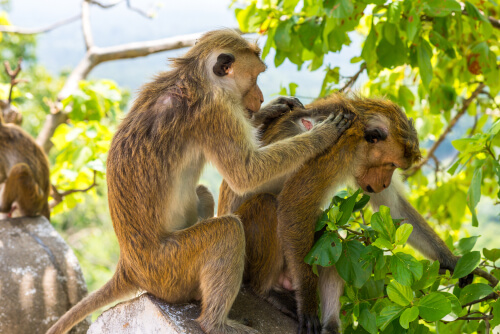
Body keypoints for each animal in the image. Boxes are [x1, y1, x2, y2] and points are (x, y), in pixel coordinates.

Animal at [45, 29, 354, 334]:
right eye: (255, 76)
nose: (260, 97)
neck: (195, 77)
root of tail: (129, 268)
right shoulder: (215, 111)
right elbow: (246, 173)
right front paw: (323, 135)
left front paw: (274, 108)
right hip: (169, 268)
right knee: (227, 231)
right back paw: (216, 325)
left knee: (203, 193)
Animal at [217, 94, 470, 334]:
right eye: (390, 164)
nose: (385, 182)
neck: (358, 131)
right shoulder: (336, 150)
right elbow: (294, 207)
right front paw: (308, 305)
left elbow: (394, 207)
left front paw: (451, 260)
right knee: (268, 205)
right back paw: (266, 290)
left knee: (331, 239)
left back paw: (331, 324)